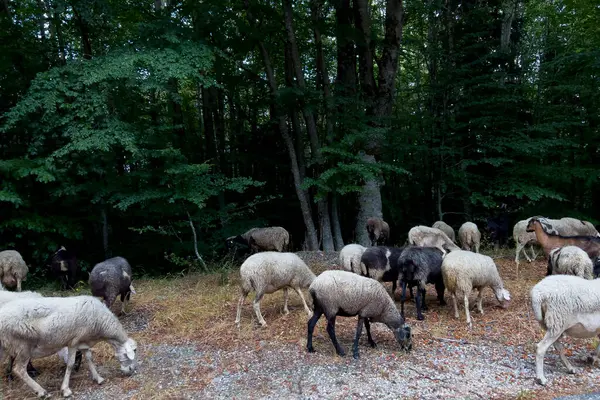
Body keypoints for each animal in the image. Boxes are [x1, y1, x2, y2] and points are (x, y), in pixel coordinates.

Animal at [0, 294, 137, 396]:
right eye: (131, 352)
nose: (131, 370)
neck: (101, 324)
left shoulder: (84, 341)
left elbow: (89, 359)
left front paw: (98, 378)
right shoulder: (73, 342)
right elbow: (70, 364)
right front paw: (65, 389)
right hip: (23, 346)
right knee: (20, 370)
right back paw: (41, 391)